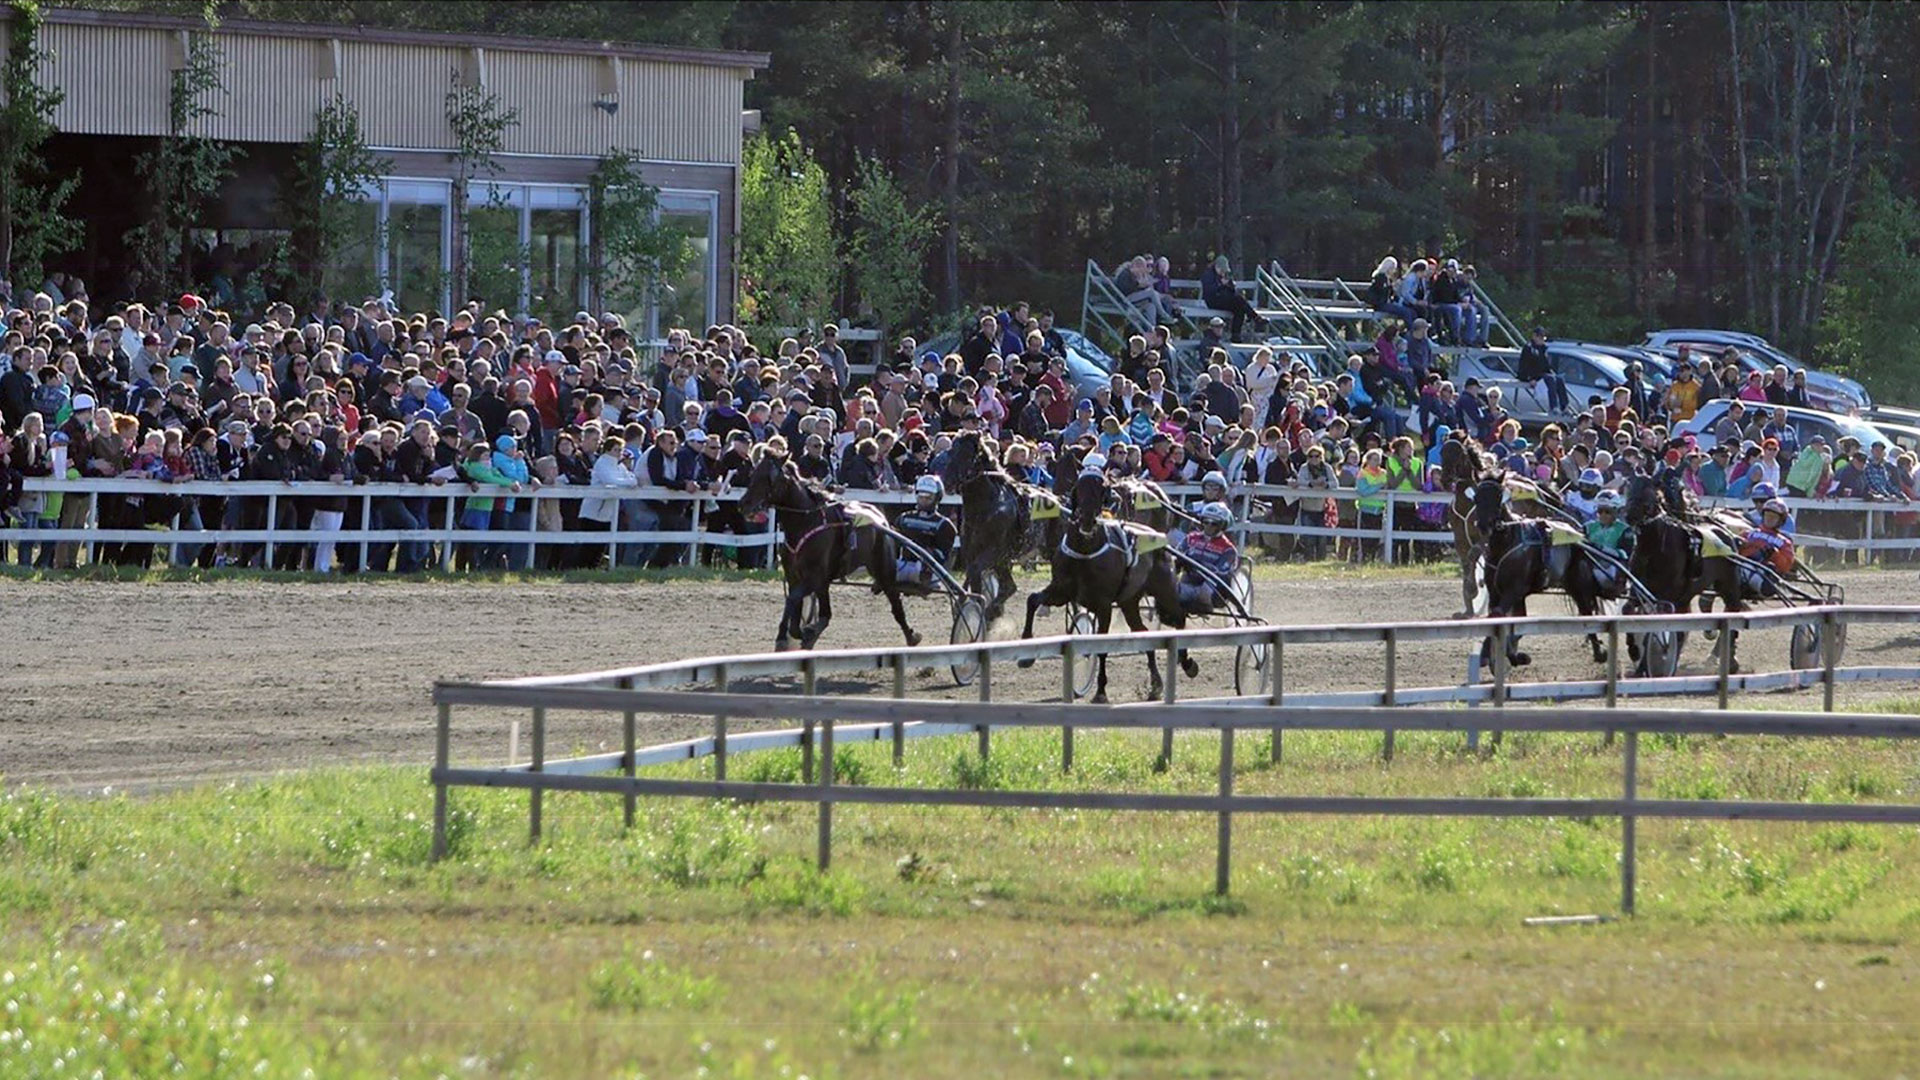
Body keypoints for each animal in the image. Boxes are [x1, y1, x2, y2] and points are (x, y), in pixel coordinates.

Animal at [733, 445, 921, 645]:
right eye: (753, 473)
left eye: (770, 478)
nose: (744, 504)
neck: (806, 522)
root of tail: (881, 519)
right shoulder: (795, 576)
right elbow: (795, 607)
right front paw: (797, 632)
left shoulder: (816, 577)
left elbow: (793, 599)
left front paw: (788, 635)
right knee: (826, 613)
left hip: (884, 569)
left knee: (896, 605)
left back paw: (911, 637)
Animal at [1013, 468, 1190, 699]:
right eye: (1078, 488)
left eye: (1102, 488)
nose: (1087, 520)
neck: (1085, 551)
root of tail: (1158, 537)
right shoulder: (1060, 591)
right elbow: (1033, 600)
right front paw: (1026, 652)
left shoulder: (1103, 605)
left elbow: (1101, 644)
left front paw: (1101, 691)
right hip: (1129, 601)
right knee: (1143, 632)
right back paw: (1156, 685)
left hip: (1164, 590)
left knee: (1179, 617)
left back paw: (1187, 662)